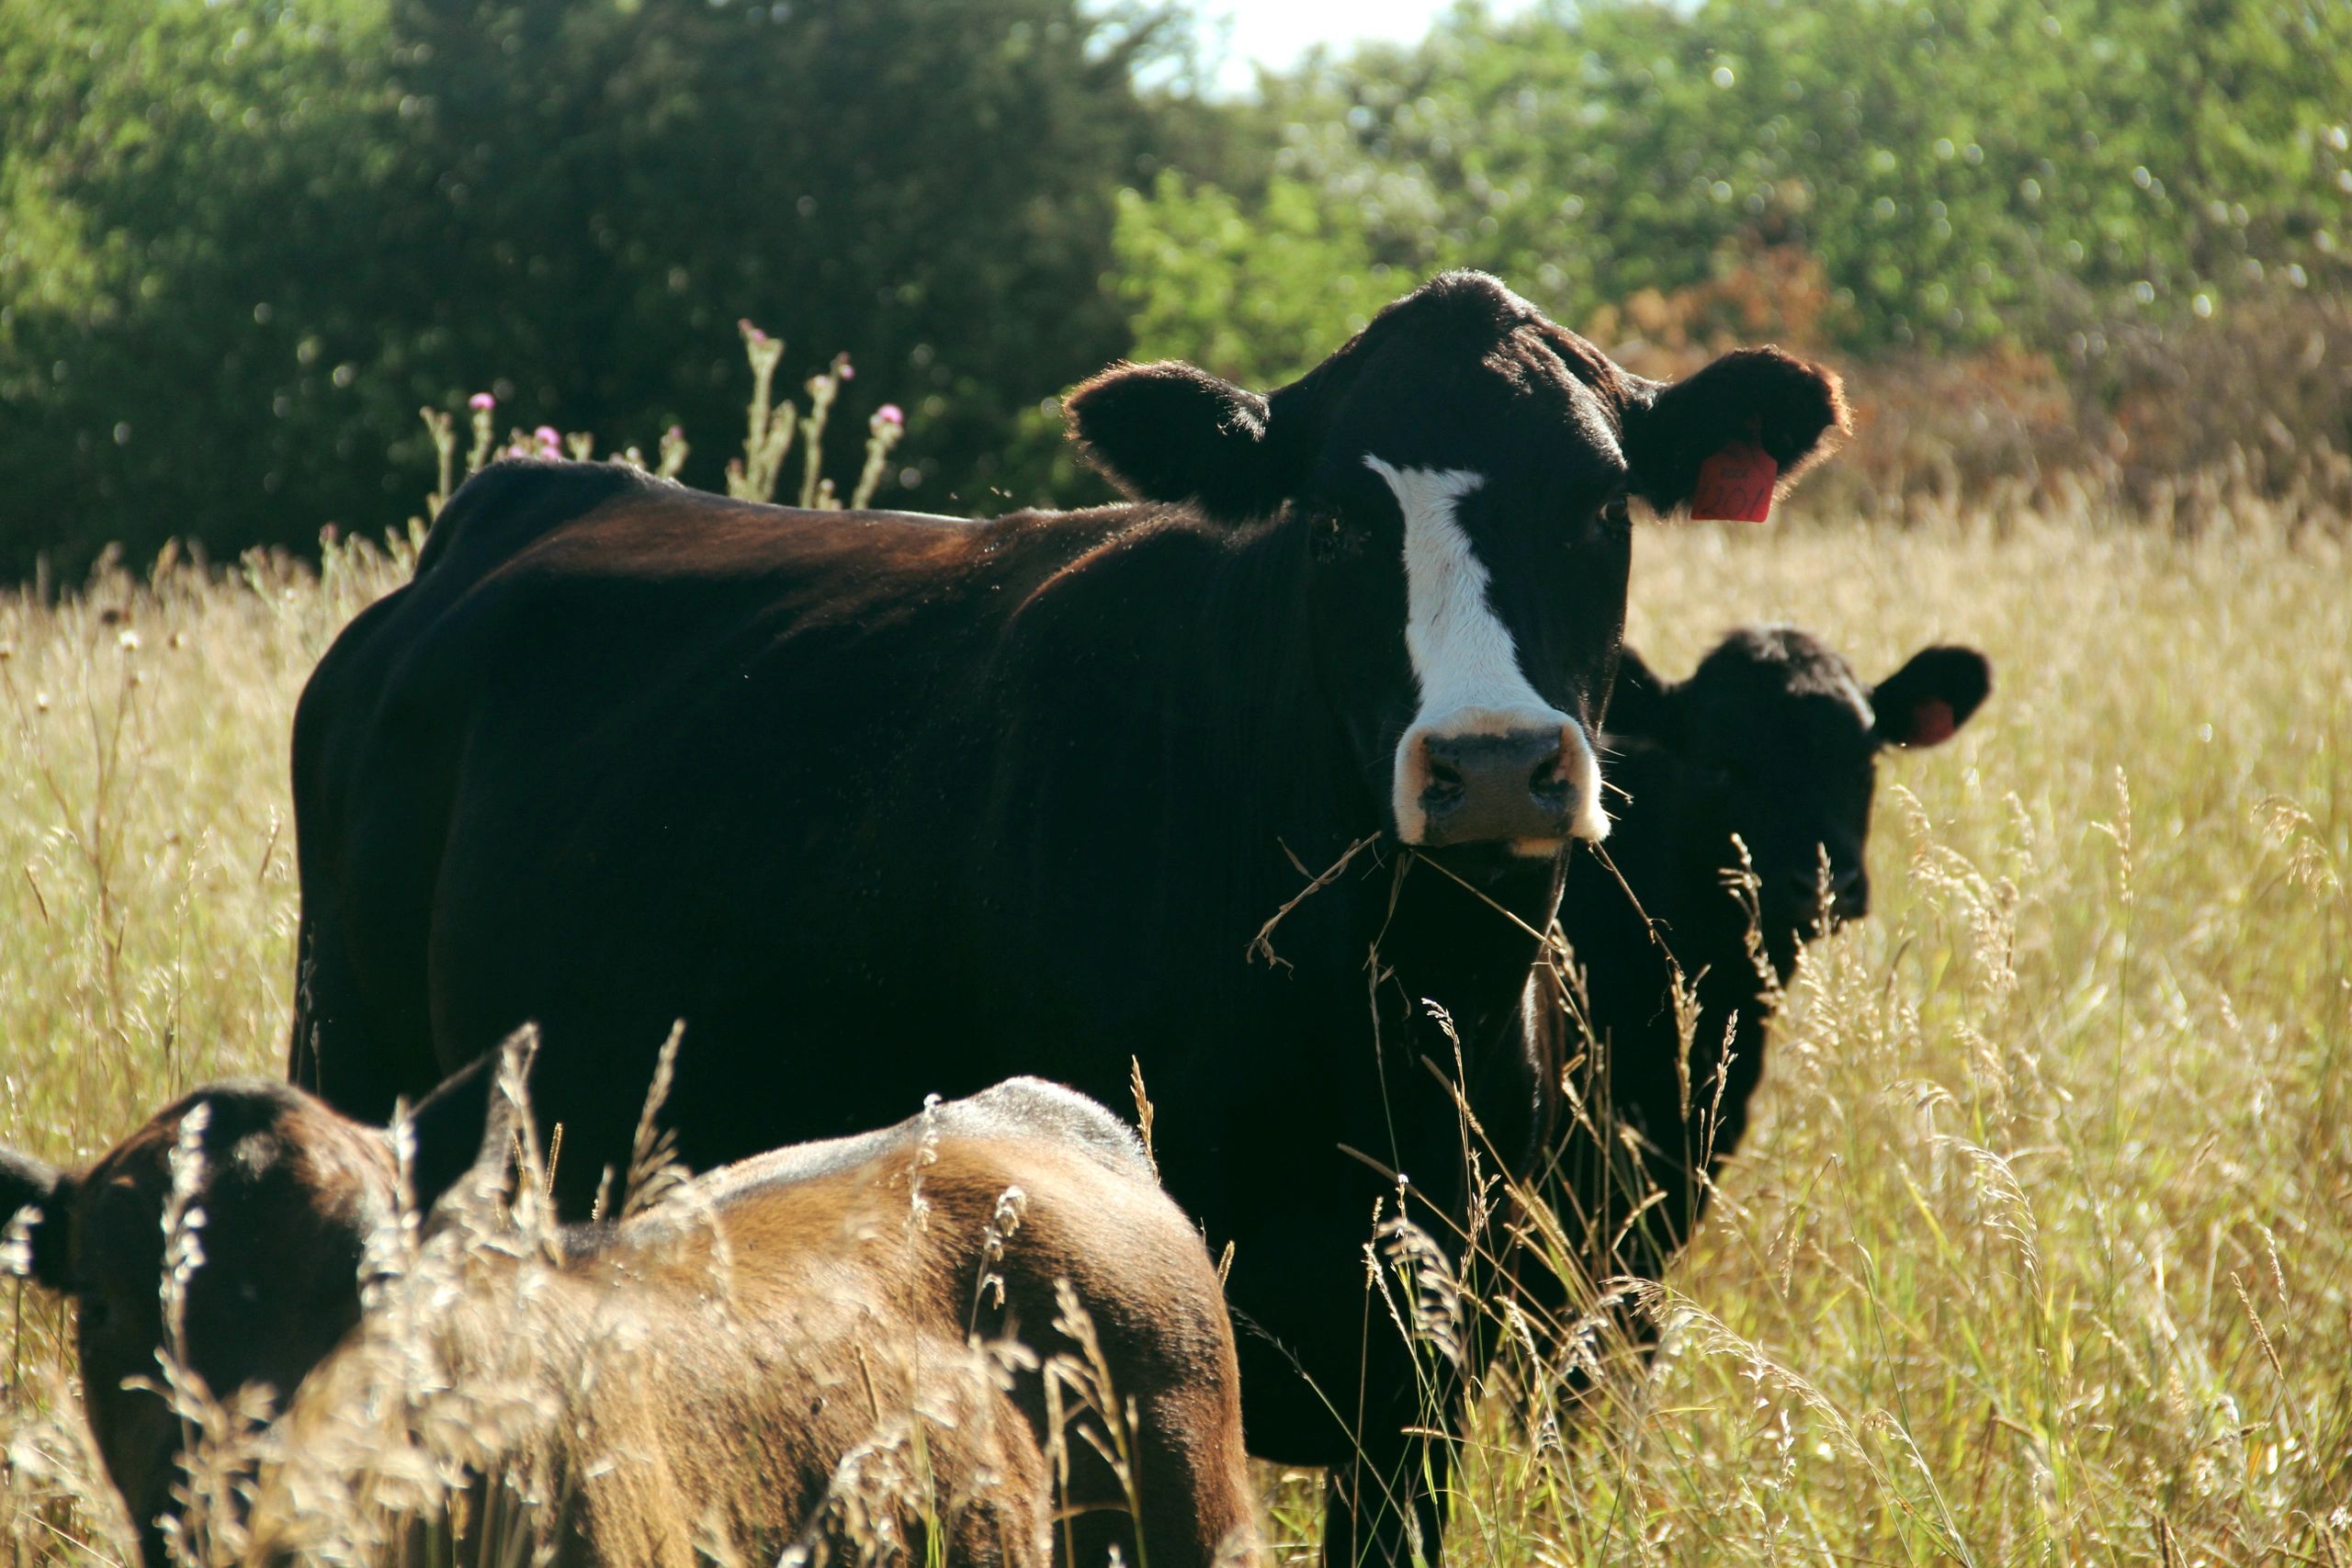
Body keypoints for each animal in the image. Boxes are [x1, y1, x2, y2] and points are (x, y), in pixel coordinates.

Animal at [284, 271, 1850, 1561]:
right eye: (1341, 517)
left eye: (1599, 506)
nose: (1494, 762)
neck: (1388, 997)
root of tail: (514, 503)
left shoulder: (1426, 1346)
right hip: (358, 1069)